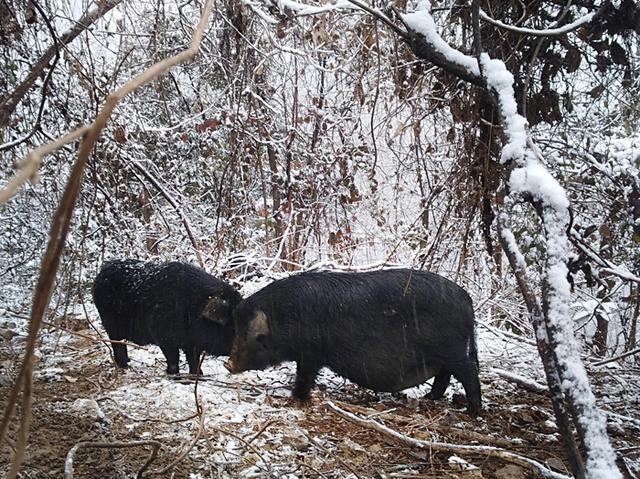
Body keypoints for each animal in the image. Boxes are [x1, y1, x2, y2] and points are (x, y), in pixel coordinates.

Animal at [91, 258, 239, 376]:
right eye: (233, 325)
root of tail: (100, 274)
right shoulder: (163, 336)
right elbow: (173, 358)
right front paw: (173, 374)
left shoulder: (192, 343)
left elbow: (194, 359)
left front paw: (199, 374)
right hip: (110, 322)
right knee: (117, 343)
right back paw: (124, 365)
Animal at [225, 270, 480, 416]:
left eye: (247, 334)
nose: (228, 364)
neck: (284, 317)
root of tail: (467, 299)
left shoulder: (311, 352)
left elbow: (305, 375)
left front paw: (295, 397)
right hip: (444, 353)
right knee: (445, 375)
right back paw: (429, 398)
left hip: (451, 348)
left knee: (467, 372)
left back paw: (472, 411)